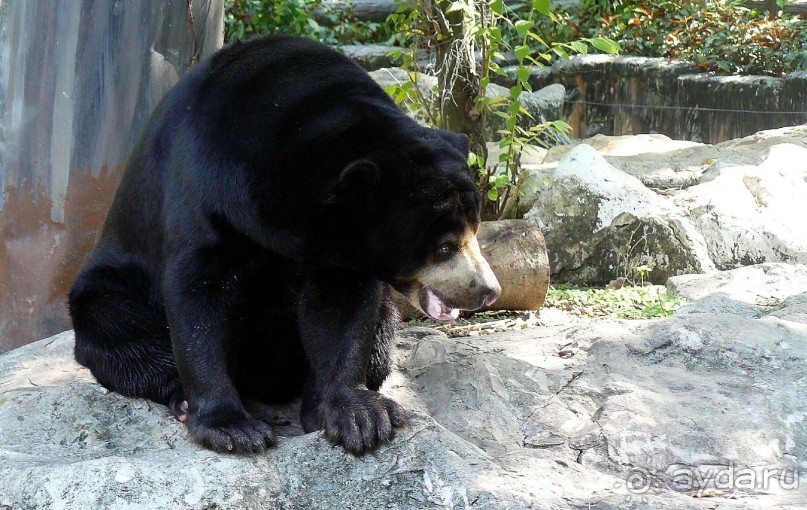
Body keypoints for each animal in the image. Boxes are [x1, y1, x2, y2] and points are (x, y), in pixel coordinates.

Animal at [68, 36, 498, 458]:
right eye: (444, 247)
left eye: (476, 228)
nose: (487, 291)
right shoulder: (203, 182)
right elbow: (196, 291)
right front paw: (231, 429)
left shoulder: (338, 246)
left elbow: (341, 307)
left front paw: (357, 415)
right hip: (112, 285)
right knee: (115, 325)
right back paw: (185, 399)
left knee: (381, 332)